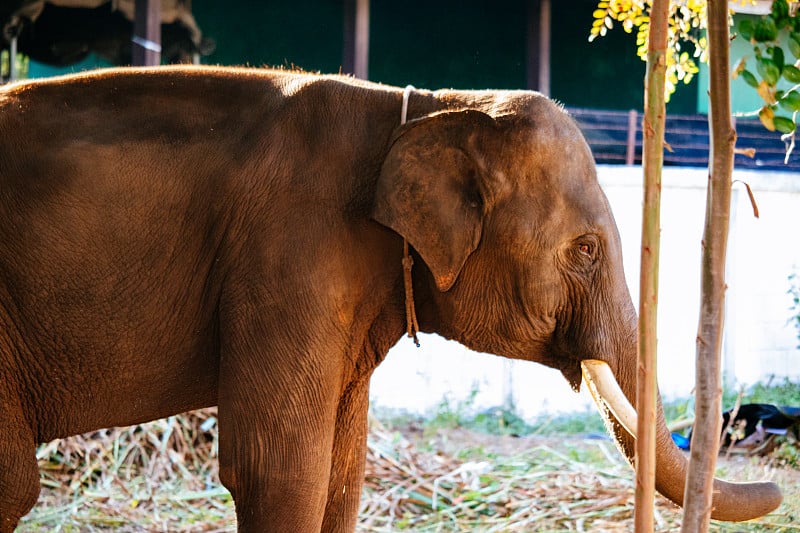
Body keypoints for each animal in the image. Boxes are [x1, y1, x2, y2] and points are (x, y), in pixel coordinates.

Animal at [0, 65, 780, 528]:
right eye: (585, 250)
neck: (427, 109)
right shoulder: (288, 254)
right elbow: (276, 468)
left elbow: (341, 473)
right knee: (15, 483)